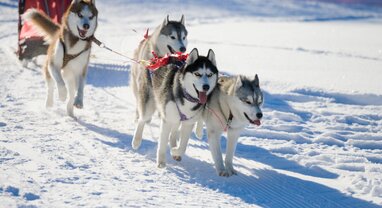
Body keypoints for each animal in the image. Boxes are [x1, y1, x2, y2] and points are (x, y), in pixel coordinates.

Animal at [131, 15, 188, 150]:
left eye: (183, 37)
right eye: (172, 37)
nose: (183, 48)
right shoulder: (146, 90)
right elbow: (143, 117)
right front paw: (136, 140)